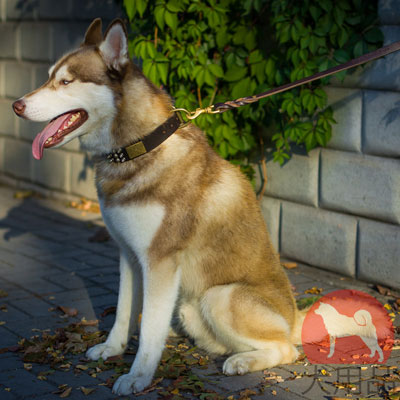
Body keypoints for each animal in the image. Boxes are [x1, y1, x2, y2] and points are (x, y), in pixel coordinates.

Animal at [14, 18, 304, 394]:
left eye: (65, 82)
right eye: (49, 76)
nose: (16, 105)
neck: (138, 147)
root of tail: (295, 317)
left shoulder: (160, 262)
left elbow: (150, 327)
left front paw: (138, 376)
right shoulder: (128, 254)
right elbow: (124, 310)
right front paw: (112, 348)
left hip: (219, 297)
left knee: (287, 349)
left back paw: (244, 361)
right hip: (188, 308)